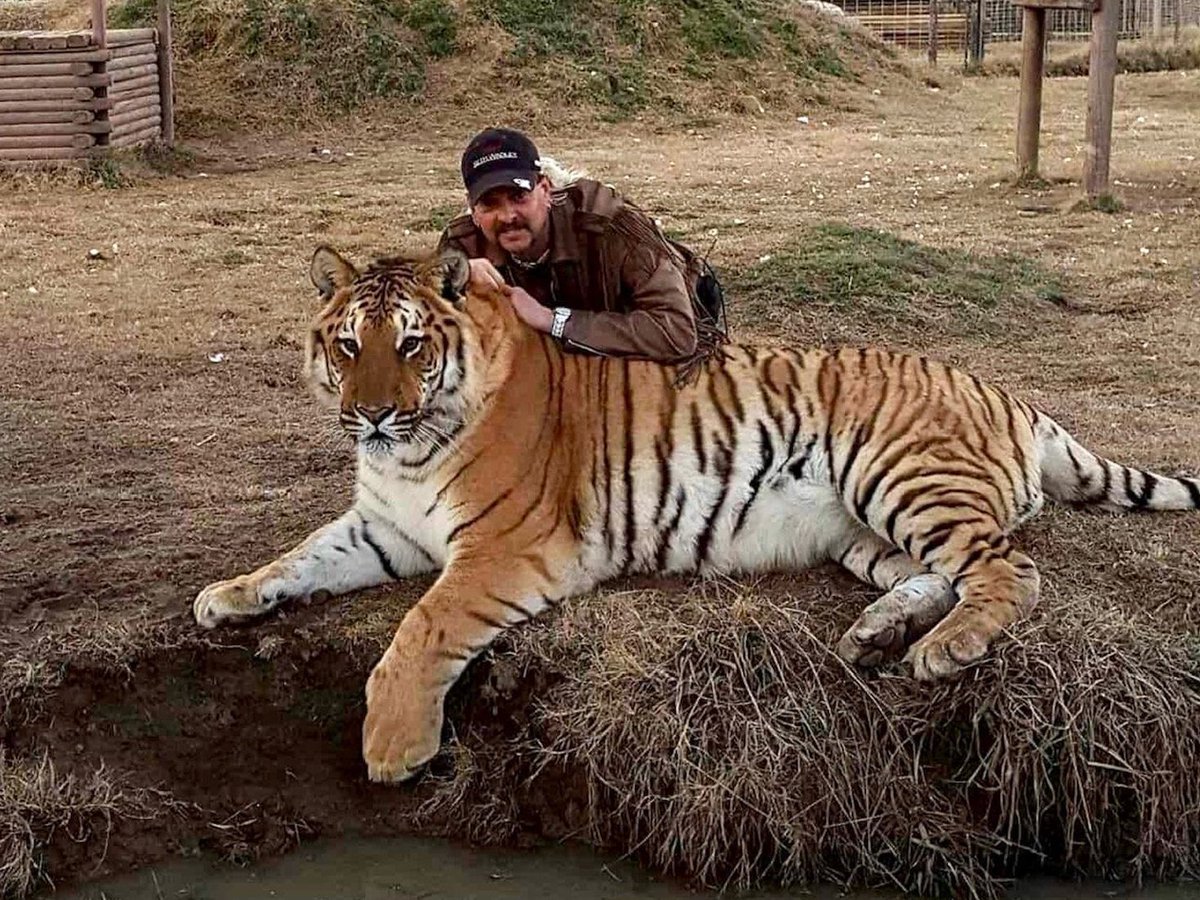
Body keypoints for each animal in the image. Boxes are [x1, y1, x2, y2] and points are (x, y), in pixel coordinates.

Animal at [193, 245, 1200, 784]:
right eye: (347, 344)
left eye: (408, 345)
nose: (367, 413)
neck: (405, 450)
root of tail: (1014, 397)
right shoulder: (386, 527)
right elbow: (297, 556)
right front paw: (227, 596)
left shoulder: (508, 547)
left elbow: (422, 627)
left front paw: (394, 745)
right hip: (865, 531)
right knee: (939, 574)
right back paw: (875, 634)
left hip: (902, 473)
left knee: (1008, 571)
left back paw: (943, 651)